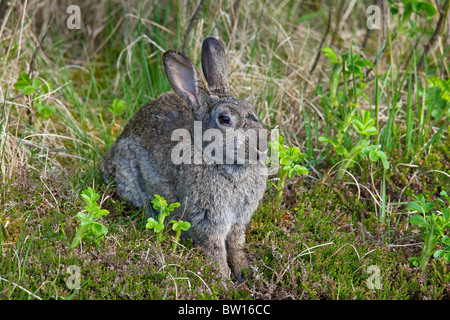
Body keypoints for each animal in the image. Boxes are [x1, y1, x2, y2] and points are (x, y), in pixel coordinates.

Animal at [101, 38, 268, 282]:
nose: (262, 146)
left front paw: (244, 273)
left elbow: (236, 244)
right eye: (224, 119)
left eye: (252, 109)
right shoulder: (207, 218)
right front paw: (223, 281)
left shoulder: (239, 219)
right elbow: (215, 249)